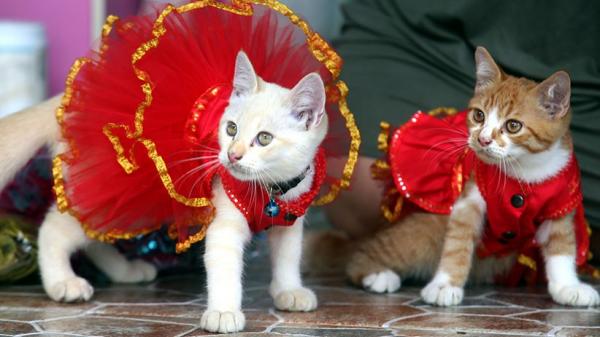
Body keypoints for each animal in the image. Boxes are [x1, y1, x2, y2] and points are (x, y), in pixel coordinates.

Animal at [344, 47, 596, 308]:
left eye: (513, 126)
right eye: (478, 115)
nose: (483, 140)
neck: (526, 168)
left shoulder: (560, 204)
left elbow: (562, 246)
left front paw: (567, 286)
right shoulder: (470, 197)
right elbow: (457, 241)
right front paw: (445, 285)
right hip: (426, 231)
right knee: (368, 251)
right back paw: (377, 274)